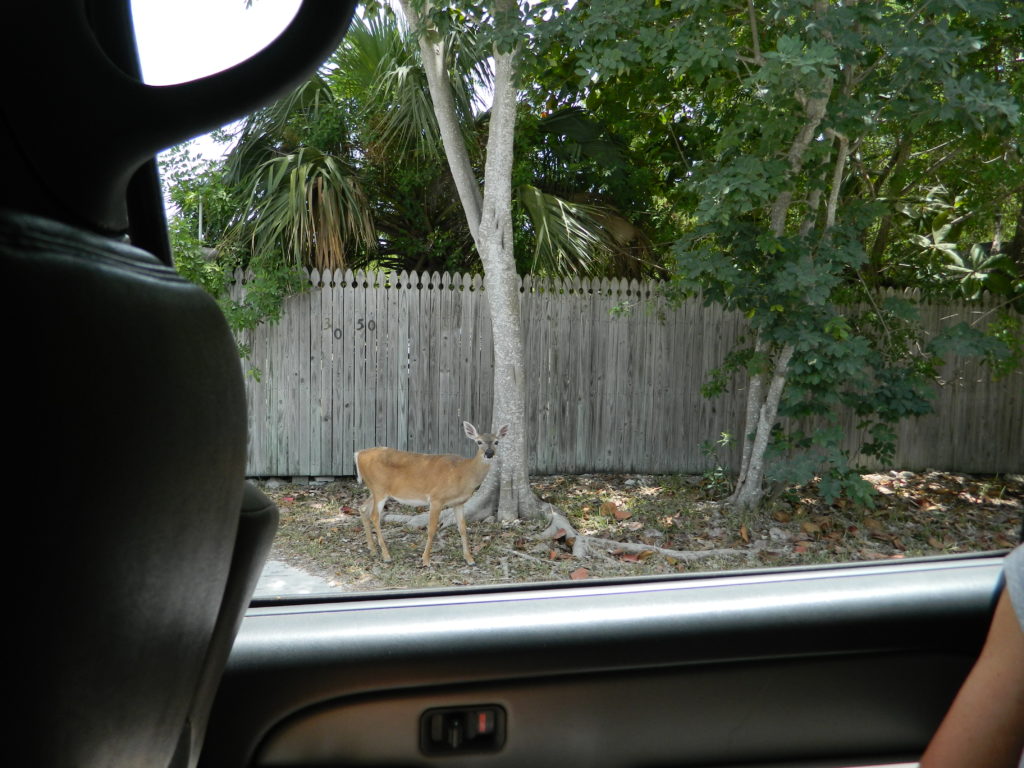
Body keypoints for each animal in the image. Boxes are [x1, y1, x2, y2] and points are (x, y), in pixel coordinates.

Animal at [354, 421, 509, 567]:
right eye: (479, 442)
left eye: (496, 442)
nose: (489, 453)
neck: (463, 473)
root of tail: (358, 454)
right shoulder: (436, 498)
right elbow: (432, 529)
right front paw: (426, 560)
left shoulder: (459, 502)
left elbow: (463, 529)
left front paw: (470, 559)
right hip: (379, 489)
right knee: (375, 516)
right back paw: (386, 556)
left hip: (375, 490)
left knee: (363, 509)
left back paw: (372, 549)